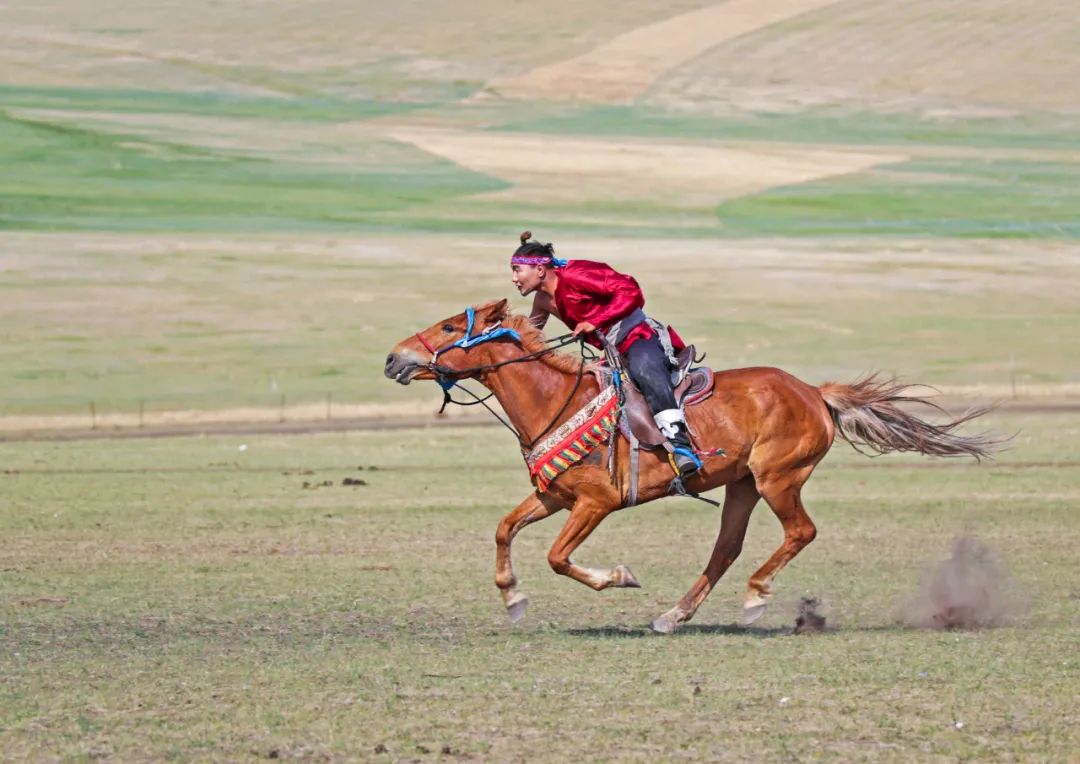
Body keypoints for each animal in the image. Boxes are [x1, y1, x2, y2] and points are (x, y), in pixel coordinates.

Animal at [384, 298, 997, 635]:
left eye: (448, 328)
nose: (393, 358)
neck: (553, 398)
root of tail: (814, 393)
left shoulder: (597, 503)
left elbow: (558, 558)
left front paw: (618, 577)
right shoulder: (554, 497)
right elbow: (504, 528)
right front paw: (512, 599)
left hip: (779, 479)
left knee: (800, 532)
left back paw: (754, 598)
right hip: (744, 486)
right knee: (725, 549)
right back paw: (673, 617)